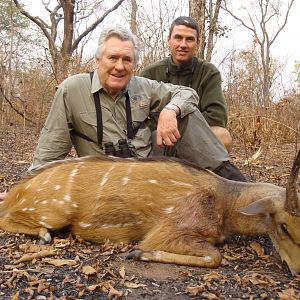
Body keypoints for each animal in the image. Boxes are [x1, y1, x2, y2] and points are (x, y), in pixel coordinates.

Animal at [0, 152, 298, 274]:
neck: (225, 207)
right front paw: (139, 253)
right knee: (6, 217)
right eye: (283, 225)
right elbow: (215, 257)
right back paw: (43, 235)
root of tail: (18, 189)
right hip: (54, 210)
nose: (295, 269)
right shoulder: (170, 230)